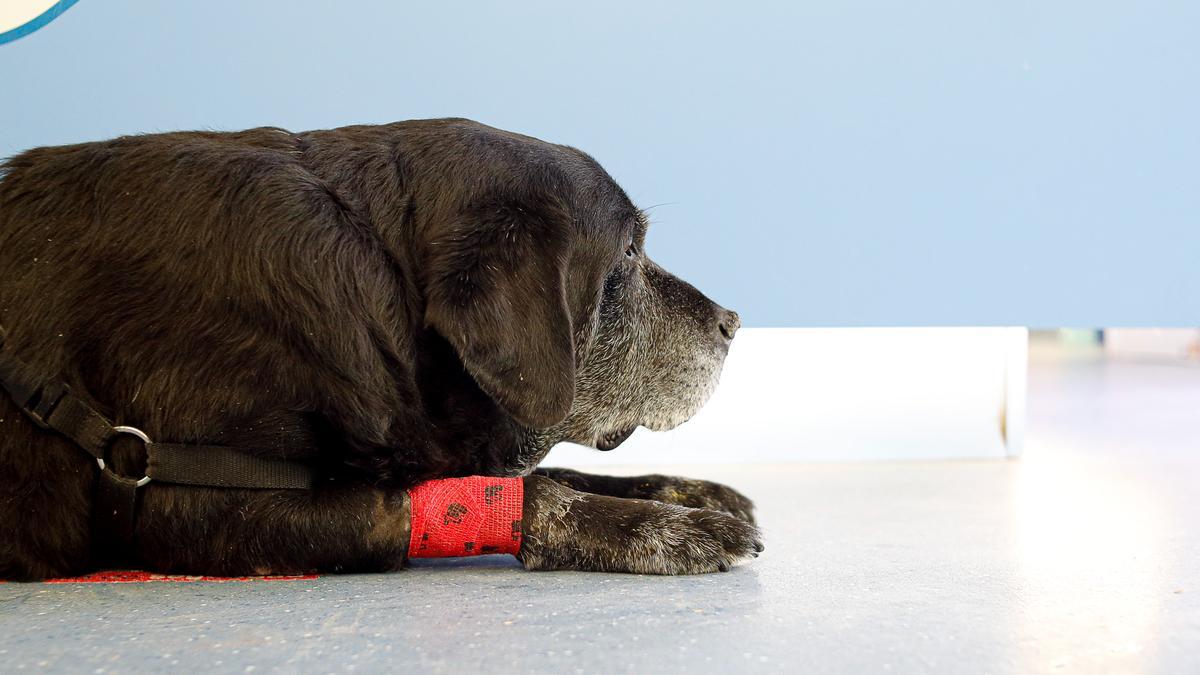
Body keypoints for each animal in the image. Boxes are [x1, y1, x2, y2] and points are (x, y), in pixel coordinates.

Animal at [2, 117, 758, 578]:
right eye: (628, 253)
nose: (733, 321)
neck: (379, 290)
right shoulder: (184, 500)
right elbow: (529, 490)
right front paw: (662, 528)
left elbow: (550, 473)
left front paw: (688, 492)